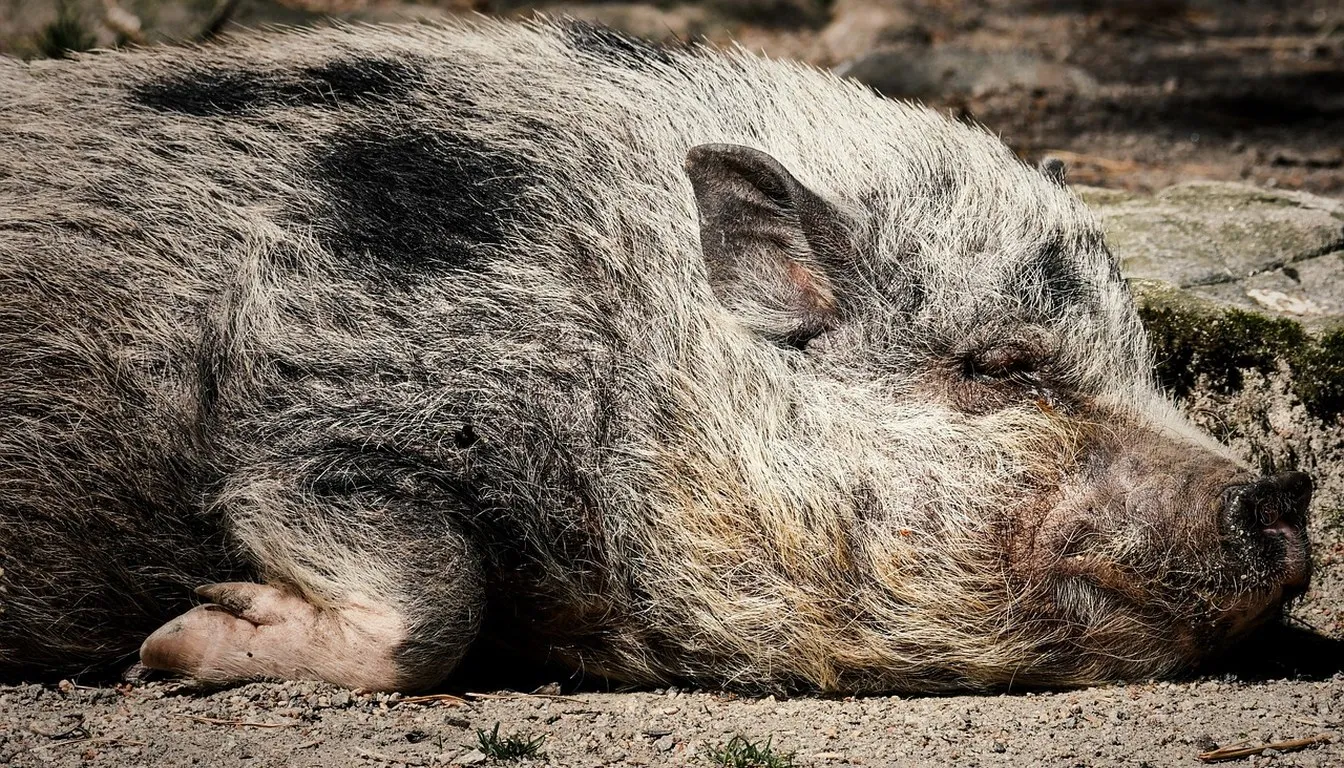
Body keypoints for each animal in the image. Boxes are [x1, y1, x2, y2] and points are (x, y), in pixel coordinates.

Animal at [0, 17, 1313, 694]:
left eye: (1146, 360)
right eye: (1000, 366)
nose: (1283, 491)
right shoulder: (319, 414)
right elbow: (433, 593)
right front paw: (170, 646)